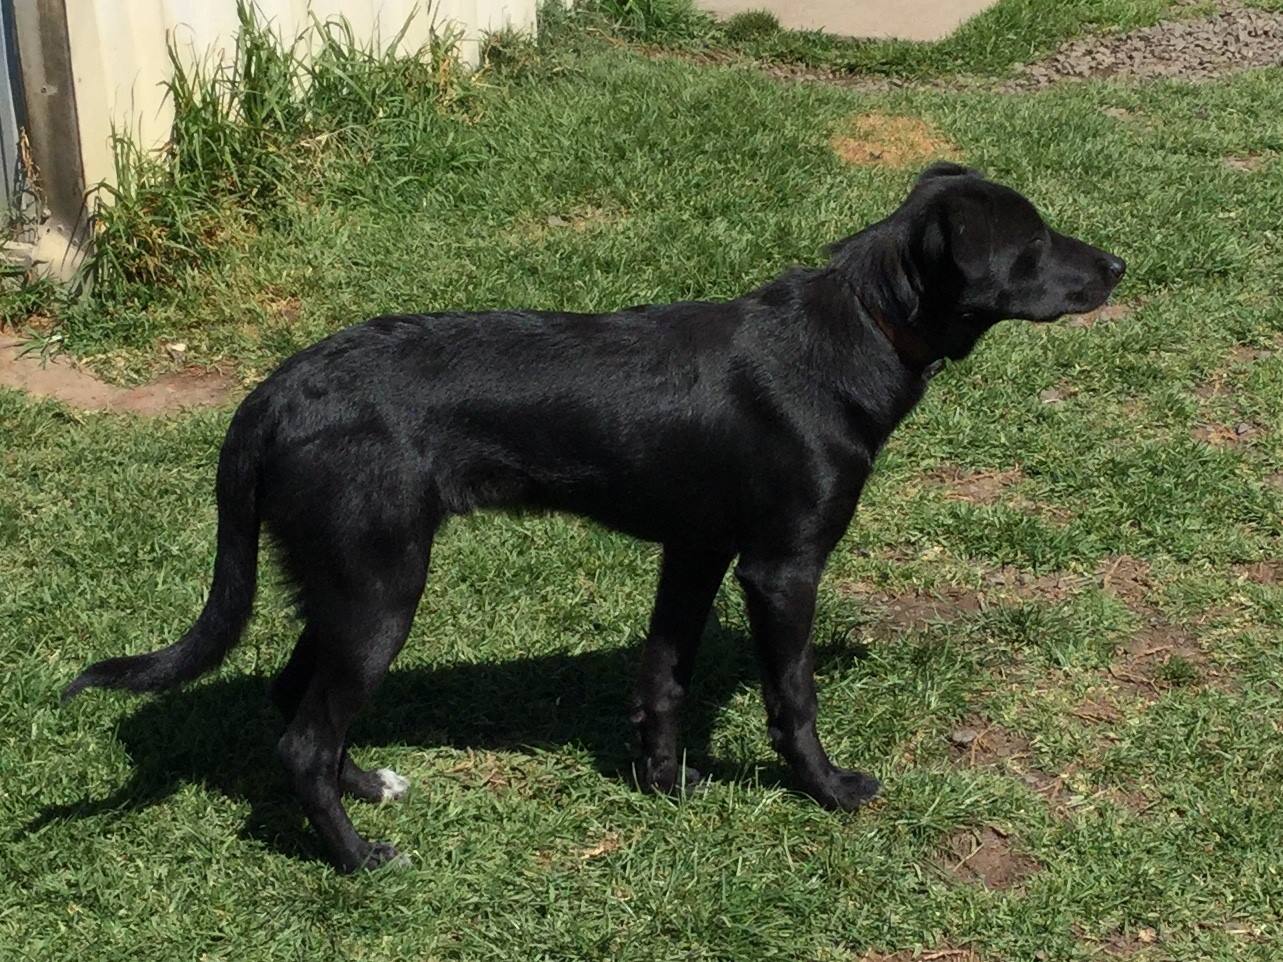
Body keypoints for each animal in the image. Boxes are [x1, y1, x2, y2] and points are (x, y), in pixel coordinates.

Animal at [65, 163, 1125, 872]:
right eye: (1033, 243)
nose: (1118, 263)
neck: (860, 325)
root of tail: (273, 393)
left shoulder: (694, 551)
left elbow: (663, 676)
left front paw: (664, 784)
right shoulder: (780, 567)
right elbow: (794, 697)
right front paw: (827, 791)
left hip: (342, 585)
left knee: (297, 707)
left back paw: (370, 789)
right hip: (378, 591)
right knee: (302, 738)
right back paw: (359, 857)